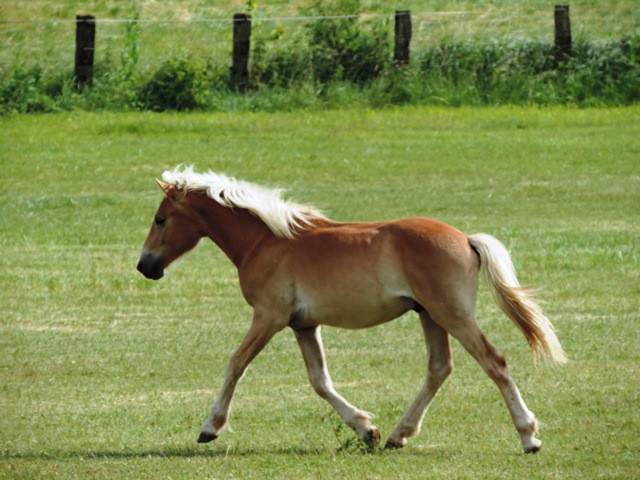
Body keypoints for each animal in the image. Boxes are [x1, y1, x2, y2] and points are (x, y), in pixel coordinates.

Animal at [136, 166, 564, 454]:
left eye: (161, 219)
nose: (145, 266)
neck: (267, 241)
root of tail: (466, 238)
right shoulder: (303, 325)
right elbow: (319, 381)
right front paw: (365, 429)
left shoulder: (269, 317)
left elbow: (236, 363)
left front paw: (210, 427)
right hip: (429, 315)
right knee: (440, 368)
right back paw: (397, 435)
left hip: (452, 315)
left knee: (495, 362)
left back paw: (529, 436)